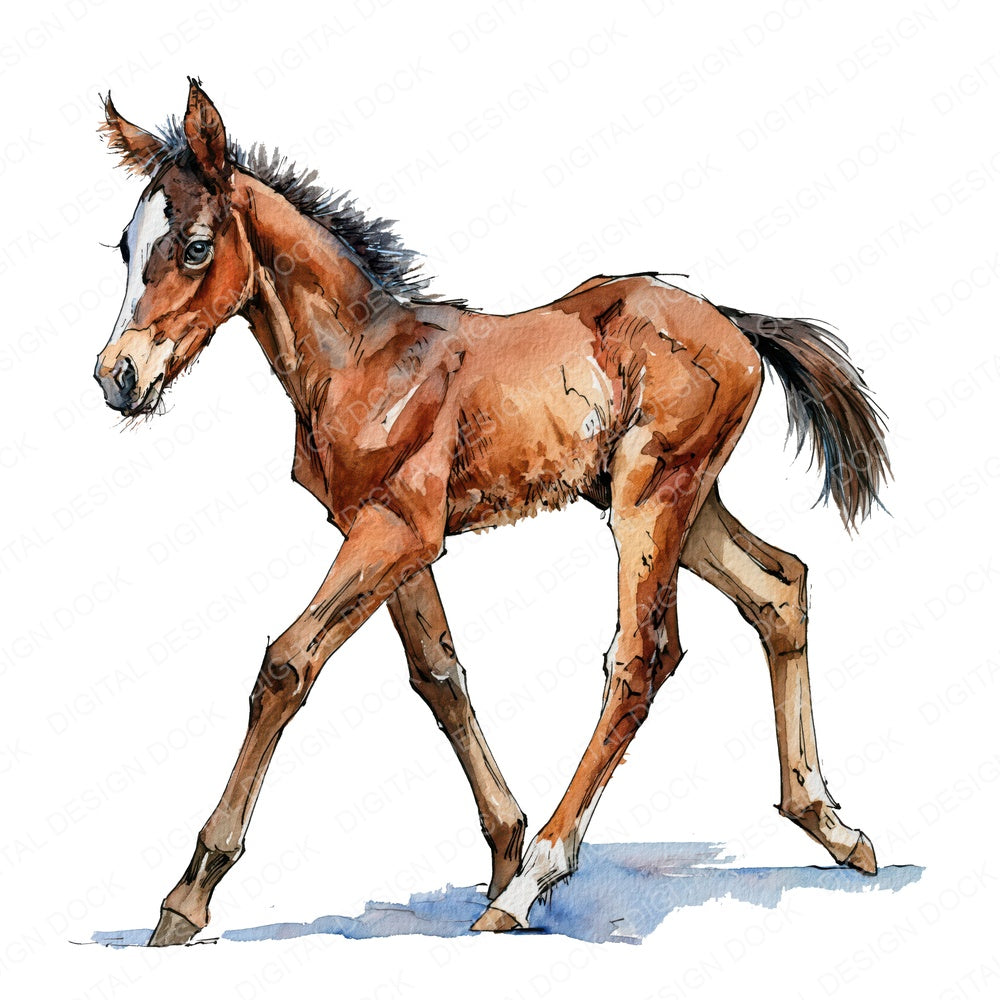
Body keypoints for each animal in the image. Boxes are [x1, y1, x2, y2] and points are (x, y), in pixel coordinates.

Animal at [94, 81, 889, 946]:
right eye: (125, 248)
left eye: (197, 245)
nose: (116, 377)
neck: (367, 360)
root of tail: (734, 321)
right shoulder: (386, 535)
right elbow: (439, 676)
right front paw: (504, 845)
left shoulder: (396, 532)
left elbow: (288, 664)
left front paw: (187, 897)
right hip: (685, 501)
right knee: (778, 588)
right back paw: (833, 826)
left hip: (652, 497)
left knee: (641, 656)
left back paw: (536, 880)